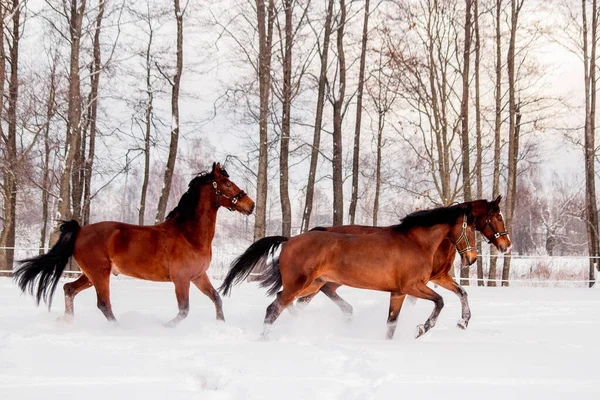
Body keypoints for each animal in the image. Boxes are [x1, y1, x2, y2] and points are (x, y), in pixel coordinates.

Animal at [14, 161, 253, 326]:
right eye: (227, 183)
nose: (249, 205)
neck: (189, 235)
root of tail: (80, 230)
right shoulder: (181, 279)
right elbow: (184, 310)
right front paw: (166, 327)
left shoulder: (198, 276)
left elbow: (216, 298)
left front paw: (221, 325)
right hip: (99, 274)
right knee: (103, 303)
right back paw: (119, 328)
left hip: (91, 274)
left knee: (69, 289)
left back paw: (68, 322)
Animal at [220, 203, 478, 338]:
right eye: (471, 228)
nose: (472, 258)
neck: (415, 243)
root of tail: (289, 239)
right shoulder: (412, 286)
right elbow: (440, 301)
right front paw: (423, 328)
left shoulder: (398, 292)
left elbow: (392, 323)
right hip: (299, 285)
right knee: (274, 308)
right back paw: (264, 340)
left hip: (312, 285)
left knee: (283, 303)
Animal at [296, 195, 510, 326]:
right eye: (499, 217)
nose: (507, 245)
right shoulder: (421, 281)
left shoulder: (438, 277)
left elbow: (462, 292)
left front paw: (463, 321)